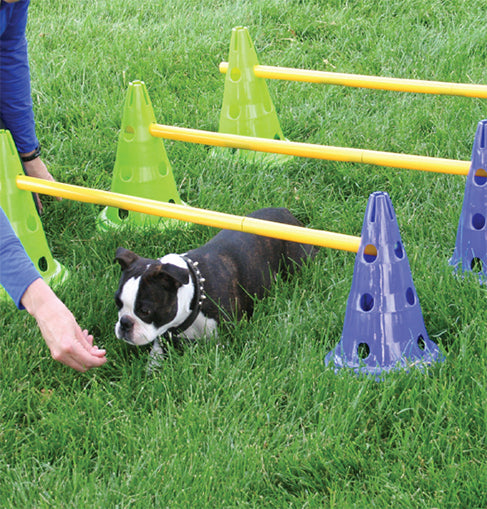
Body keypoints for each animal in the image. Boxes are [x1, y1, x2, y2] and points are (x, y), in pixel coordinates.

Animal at [114, 207, 316, 366]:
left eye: (145, 311)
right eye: (118, 303)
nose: (124, 323)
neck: (196, 296)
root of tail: (287, 213)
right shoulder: (164, 336)